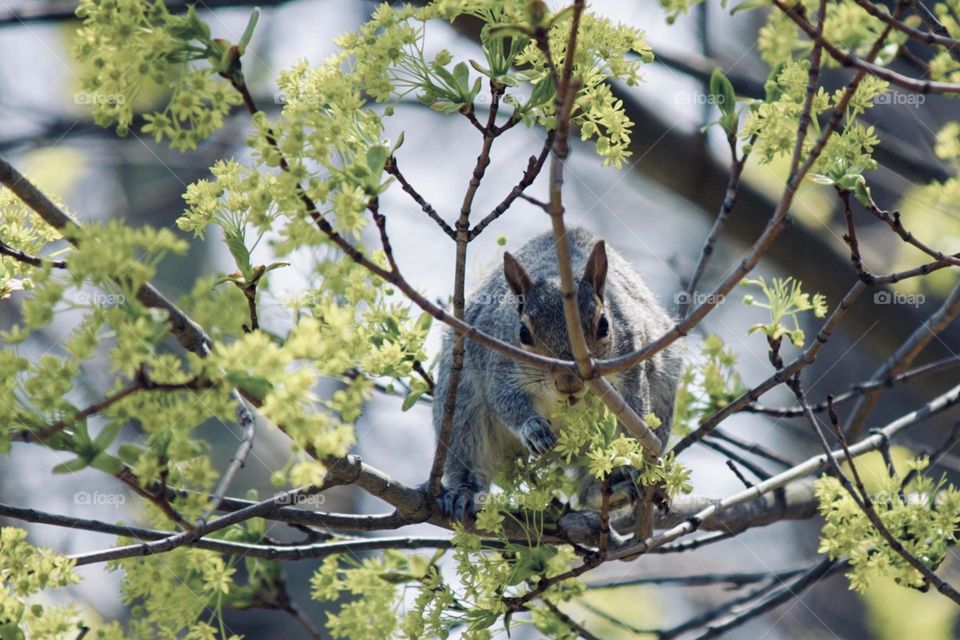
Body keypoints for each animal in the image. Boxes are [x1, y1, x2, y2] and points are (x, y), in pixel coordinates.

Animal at [436, 228, 684, 524]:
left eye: (604, 325)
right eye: (523, 333)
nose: (568, 383)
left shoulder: (631, 359)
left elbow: (635, 406)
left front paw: (636, 460)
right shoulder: (499, 363)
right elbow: (504, 401)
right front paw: (532, 428)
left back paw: (611, 490)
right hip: (461, 406)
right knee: (467, 451)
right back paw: (464, 492)